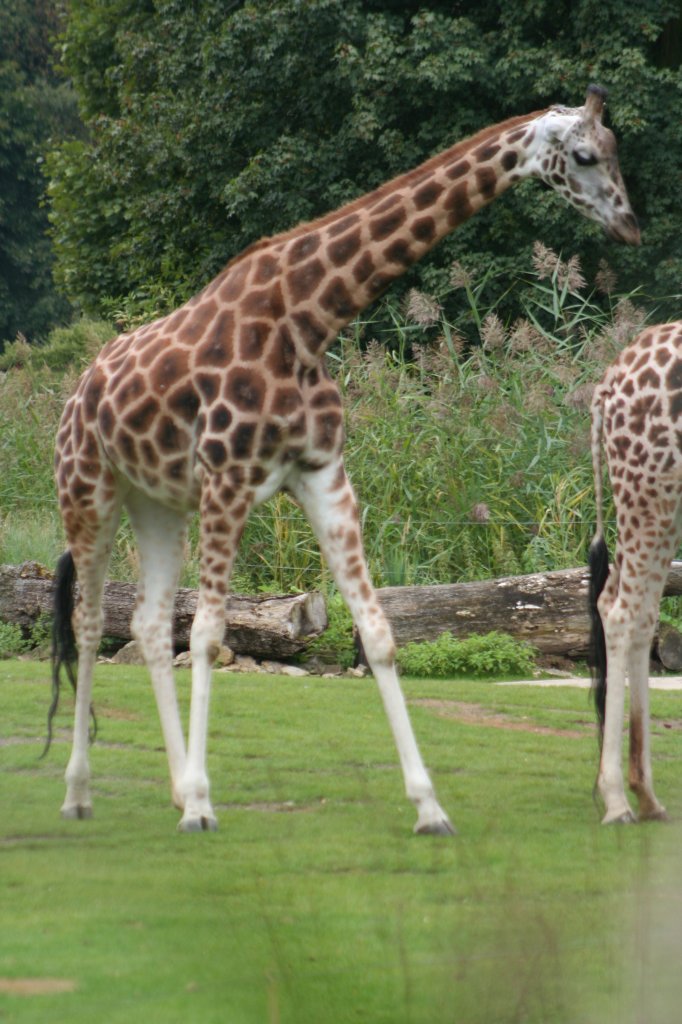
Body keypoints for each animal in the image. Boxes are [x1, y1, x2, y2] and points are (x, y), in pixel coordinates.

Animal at [51, 79, 638, 831]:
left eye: (616, 149)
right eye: (586, 155)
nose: (629, 227)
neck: (309, 317)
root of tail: (75, 394)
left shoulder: (322, 472)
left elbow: (378, 631)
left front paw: (428, 805)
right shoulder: (229, 477)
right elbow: (209, 632)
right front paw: (204, 807)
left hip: (159, 504)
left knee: (148, 624)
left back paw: (175, 786)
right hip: (88, 490)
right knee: (90, 620)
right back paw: (81, 792)